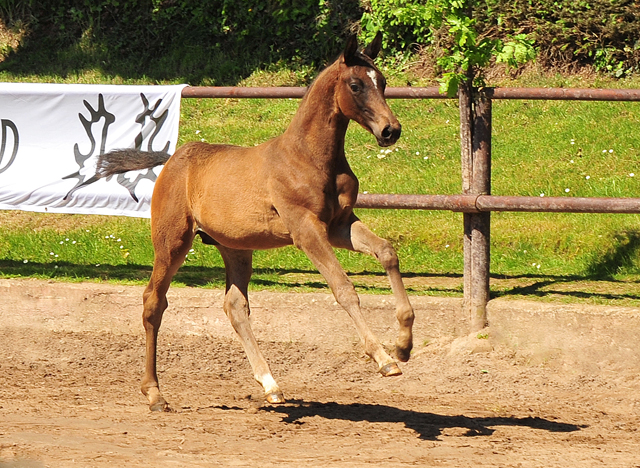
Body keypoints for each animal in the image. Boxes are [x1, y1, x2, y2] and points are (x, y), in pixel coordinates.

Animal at [94, 33, 416, 412]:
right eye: (356, 85)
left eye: (383, 82)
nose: (390, 130)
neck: (309, 157)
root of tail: (174, 158)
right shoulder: (306, 230)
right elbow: (344, 289)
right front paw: (385, 360)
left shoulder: (339, 225)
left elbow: (387, 252)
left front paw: (404, 346)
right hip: (173, 241)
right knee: (153, 303)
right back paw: (155, 394)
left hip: (235, 248)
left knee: (234, 306)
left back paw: (270, 384)